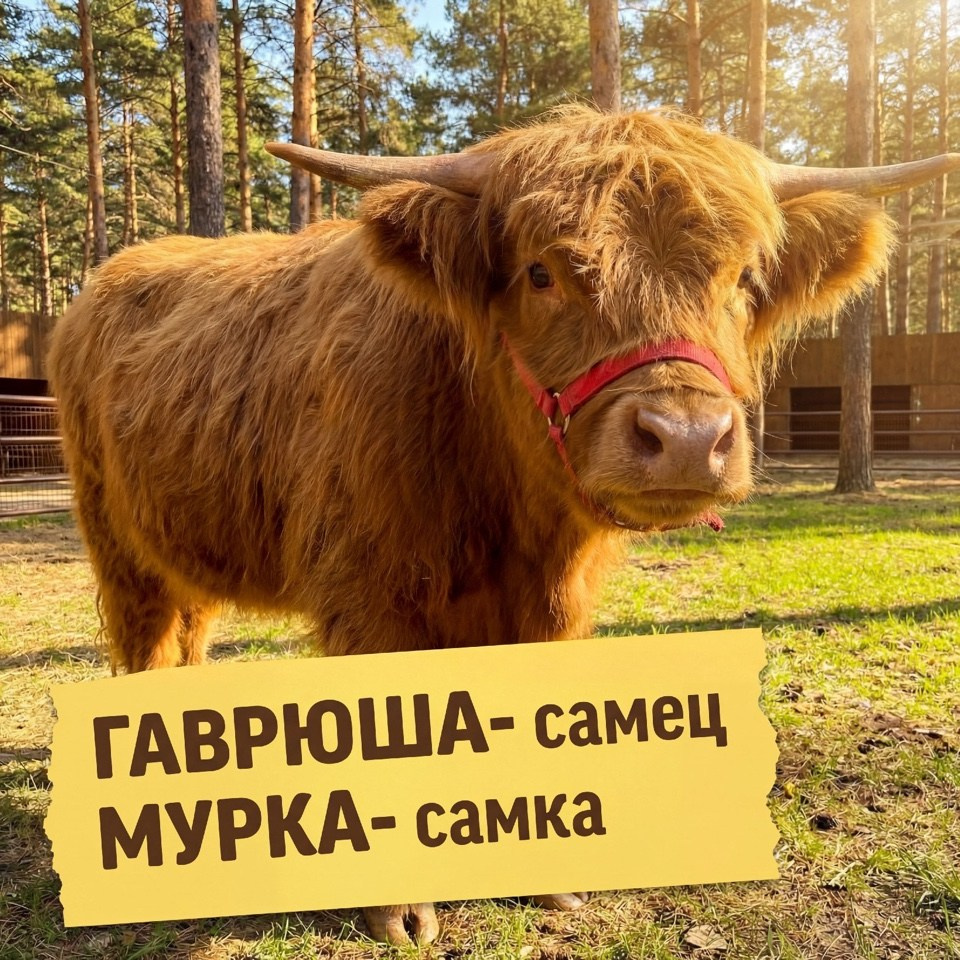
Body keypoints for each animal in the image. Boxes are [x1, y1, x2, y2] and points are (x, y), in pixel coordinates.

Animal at [48, 107, 958, 944]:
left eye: (741, 279)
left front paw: (547, 879)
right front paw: (401, 911)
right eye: (542, 272)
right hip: (119, 551)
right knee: (144, 648)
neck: (500, 500)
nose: (686, 439)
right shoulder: (369, 599)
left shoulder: (552, 605)